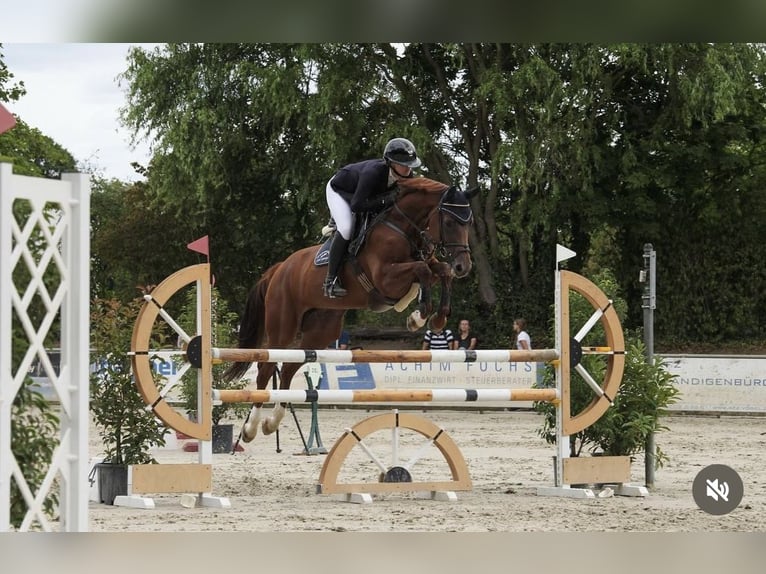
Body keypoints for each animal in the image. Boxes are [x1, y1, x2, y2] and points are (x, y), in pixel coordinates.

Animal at [220, 176, 480, 440]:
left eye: (468, 222)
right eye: (449, 222)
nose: (464, 266)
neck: (403, 228)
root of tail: (278, 269)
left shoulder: (424, 265)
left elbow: (440, 271)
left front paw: (436, 319)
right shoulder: (386, 279)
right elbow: (422, 270)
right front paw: (417, 316)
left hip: (321, 331)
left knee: (290, 367)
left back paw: (272, 422)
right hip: (283, 326)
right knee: (266, 366)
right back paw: (251, 428)